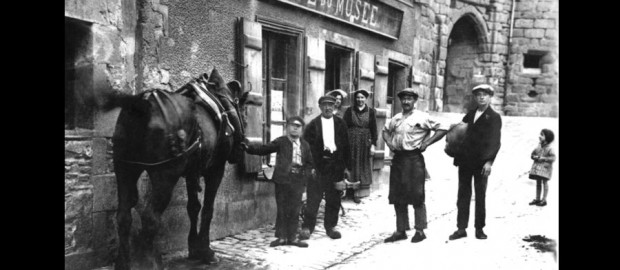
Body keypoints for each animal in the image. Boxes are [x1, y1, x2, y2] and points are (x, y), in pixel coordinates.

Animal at [100, 68, 248, 268]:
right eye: (243, 112)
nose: (242, 146)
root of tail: (144, 103)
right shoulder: (215, 170)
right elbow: (207, 210)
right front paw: (206, 251)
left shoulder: (192, 172)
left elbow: (193, 207)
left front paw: (194, 248)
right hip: (165, 175)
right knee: (150, 218)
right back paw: (150, 262)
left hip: (124, 169)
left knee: (123, 216)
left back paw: (123, 263)